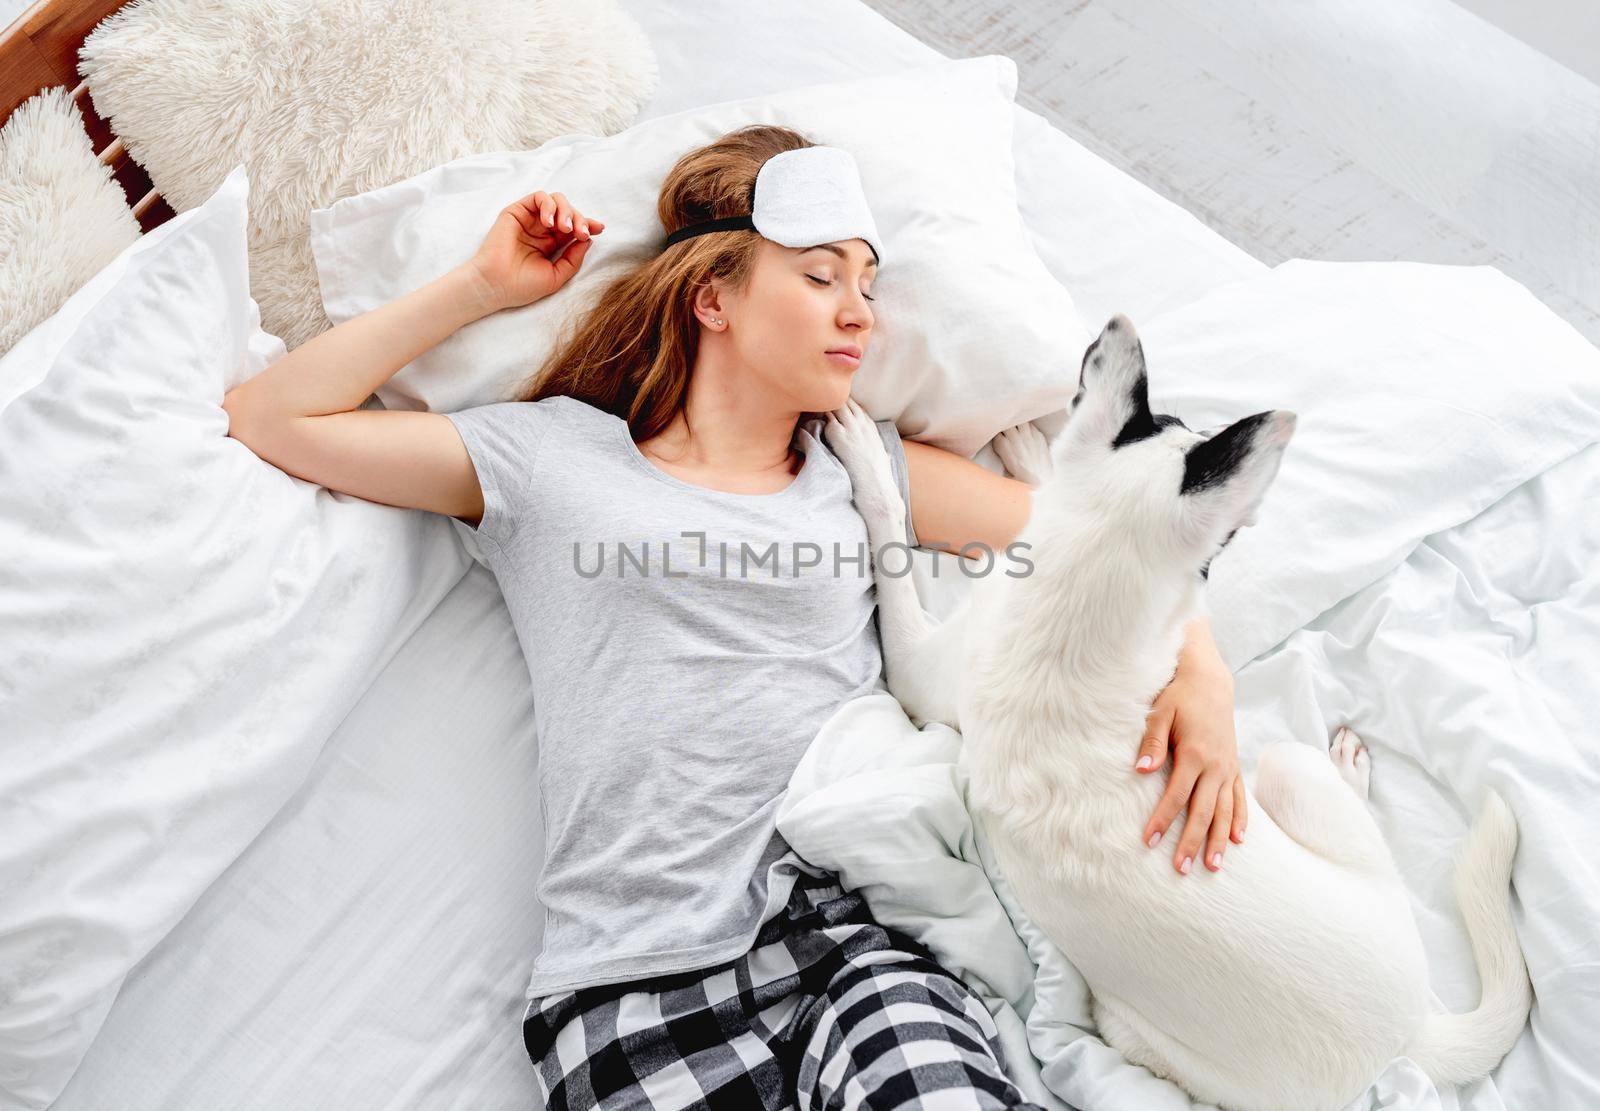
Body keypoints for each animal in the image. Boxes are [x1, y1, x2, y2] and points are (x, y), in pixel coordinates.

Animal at [825, 310, 1536, 1111]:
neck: (1077, 609)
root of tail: (1407, 1039)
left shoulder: (917, 673)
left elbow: (890, 545)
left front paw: (870, 459)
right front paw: (1034, 450)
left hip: (1268, 793)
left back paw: (1350, 767)